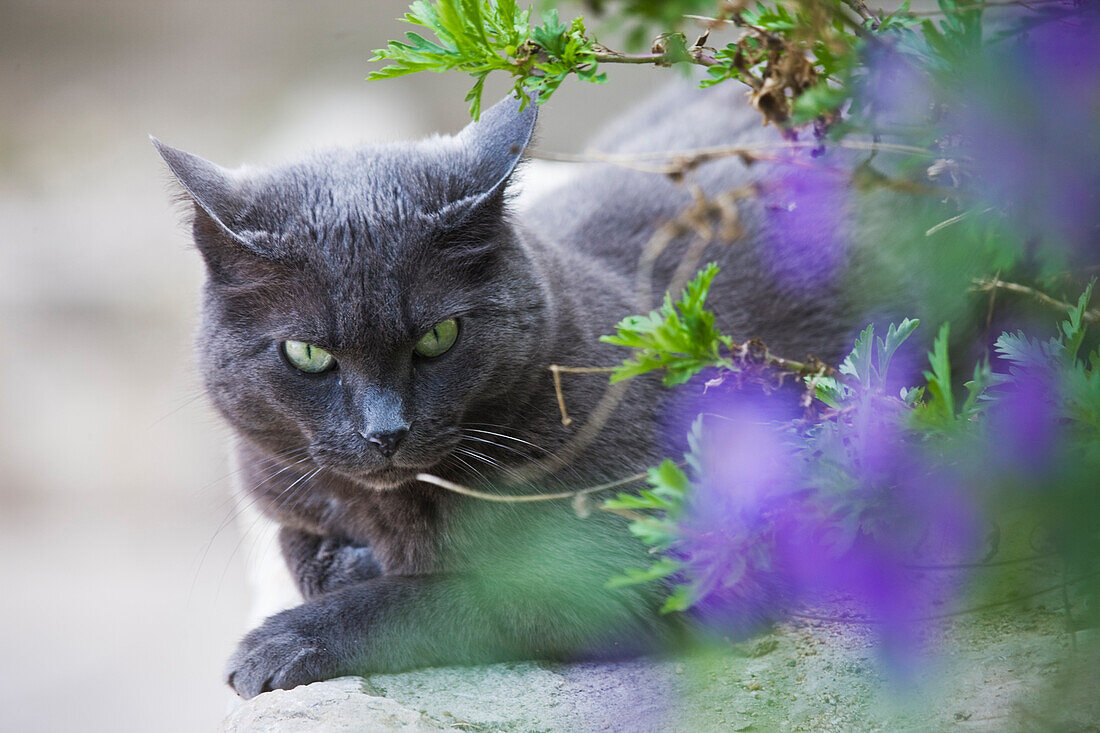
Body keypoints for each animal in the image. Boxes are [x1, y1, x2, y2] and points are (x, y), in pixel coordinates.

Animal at [155, 81, 858, 695]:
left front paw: (287, 640)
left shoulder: (648, 554)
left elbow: (462, 593)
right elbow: (301, 545)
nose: (385, 431)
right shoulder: (279, 487)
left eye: (439, 336)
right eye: (307, 354)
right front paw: (345, 565)